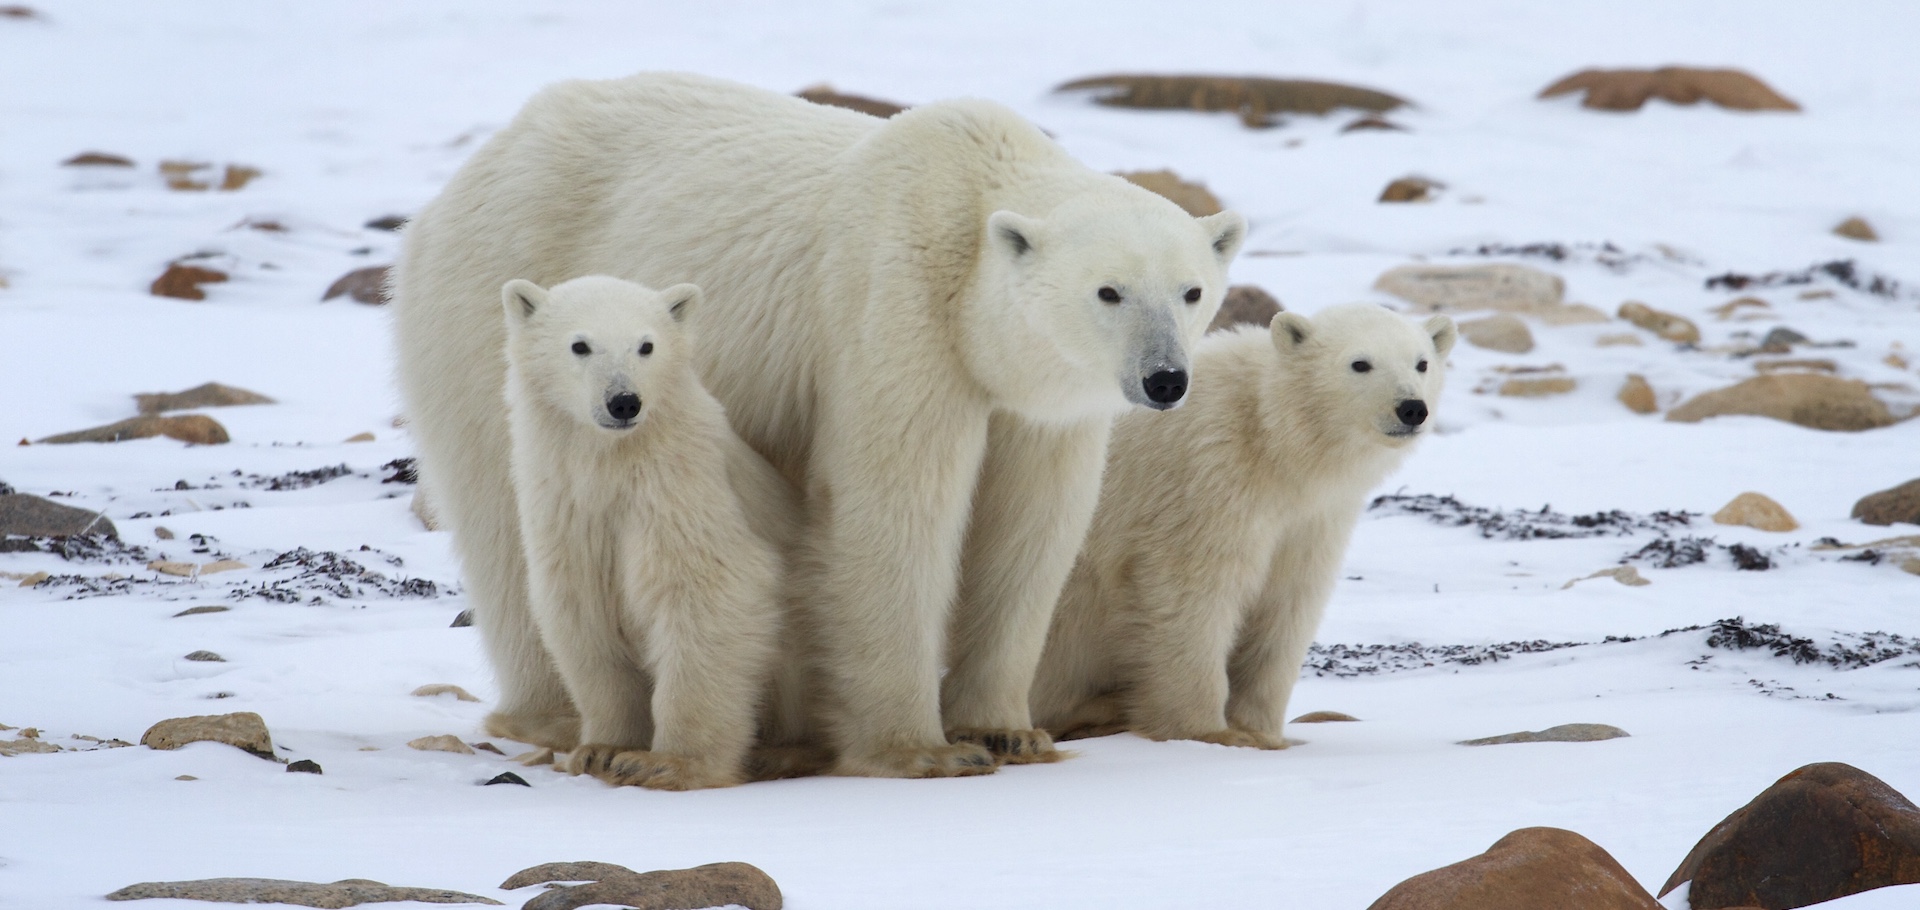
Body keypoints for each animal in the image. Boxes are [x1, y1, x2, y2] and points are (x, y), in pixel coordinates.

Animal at [502, 275, 798, 790]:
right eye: (580, 345)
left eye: (646, 345)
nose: (624, 402)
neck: (612, 463)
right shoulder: (567, 510)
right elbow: (581, 611)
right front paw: (601, 749)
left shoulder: (679, 490)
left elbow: (708, 593)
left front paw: (667, 763)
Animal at [1030, 303, 1456, 749]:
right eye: (1360, 363)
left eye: (1422, 363)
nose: (1411, 408)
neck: (1269, 435)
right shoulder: (1205, 478)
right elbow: (1190, 592)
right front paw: (1209, 732)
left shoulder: (1311, 519)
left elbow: (1286, 604)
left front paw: (1263, 730)